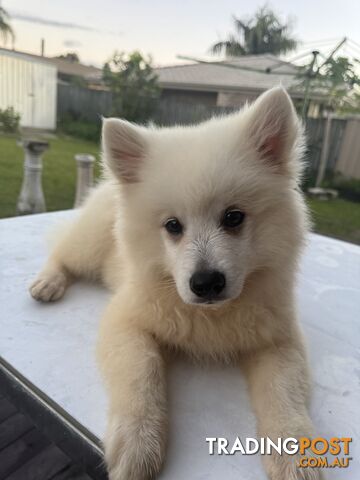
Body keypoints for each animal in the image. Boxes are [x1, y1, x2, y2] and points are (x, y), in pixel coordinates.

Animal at [29, 87, 320, 480]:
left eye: (234, 217)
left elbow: (283, 391)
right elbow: (141, 374)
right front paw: (138, 446)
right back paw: (47, 282)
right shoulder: (127, 322)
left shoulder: (279, 339)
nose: (206, 283)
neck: (214, 315)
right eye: (172, 226)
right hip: (88, 245)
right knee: (61, 251)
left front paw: (294, 453)